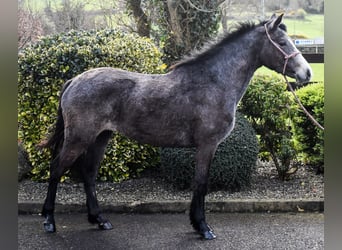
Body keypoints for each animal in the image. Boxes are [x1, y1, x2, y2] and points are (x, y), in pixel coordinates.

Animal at [40, 14, 312, 240]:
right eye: (282, 42)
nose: (307, 73)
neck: (213, 82)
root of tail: (74, 80)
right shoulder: (207, 145)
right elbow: (201, 184)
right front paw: (203, 227)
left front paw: (197, 224)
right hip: (79, 138)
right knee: (56, 169)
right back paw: (49, 221)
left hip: (100, 138)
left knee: (88, 173)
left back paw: (99, 220)